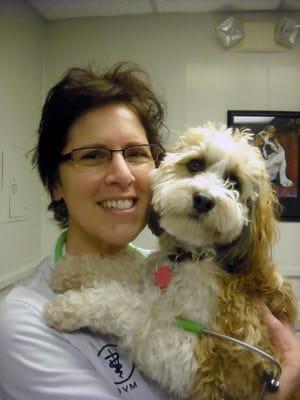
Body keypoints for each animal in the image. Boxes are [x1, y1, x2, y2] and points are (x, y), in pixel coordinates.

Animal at [44, 125, 298, 400]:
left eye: (233, 182)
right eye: (196, 164)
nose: (203, 199)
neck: (191, 257)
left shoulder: (206, 361)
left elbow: (134, 308)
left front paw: (68, 307)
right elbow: (126, 265)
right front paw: (69, 268)